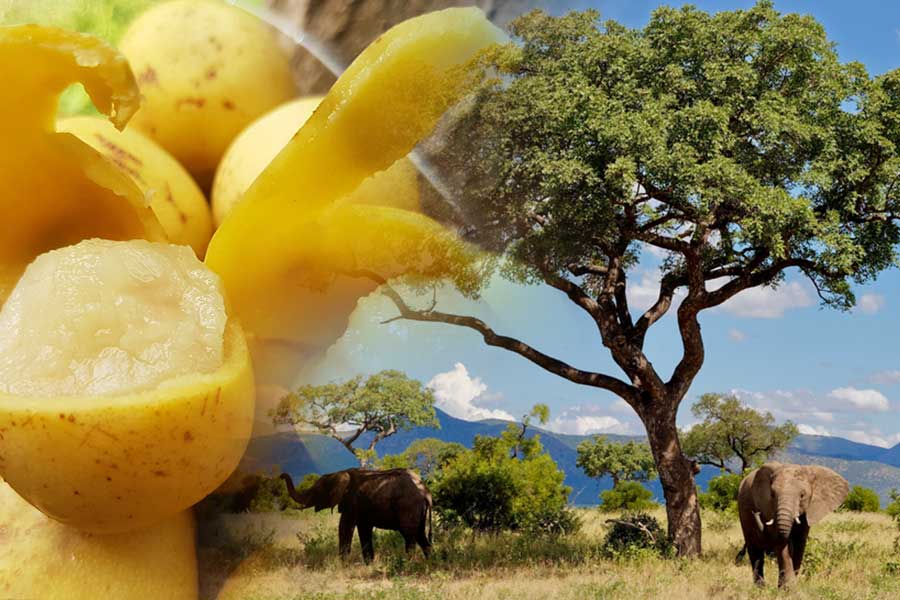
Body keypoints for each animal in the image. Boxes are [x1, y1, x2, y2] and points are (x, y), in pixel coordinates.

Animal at [280, 468, 432, 563]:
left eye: (317, 491)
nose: (281, 475)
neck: (340, 473)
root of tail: (426, 493)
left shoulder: (351, 502)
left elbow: (345, 527)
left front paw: (342, 564)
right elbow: (364, 530)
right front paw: (369, 563)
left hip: (408, 507)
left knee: (410, 536)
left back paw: (408, 563)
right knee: (420, 535)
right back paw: (429, 562)